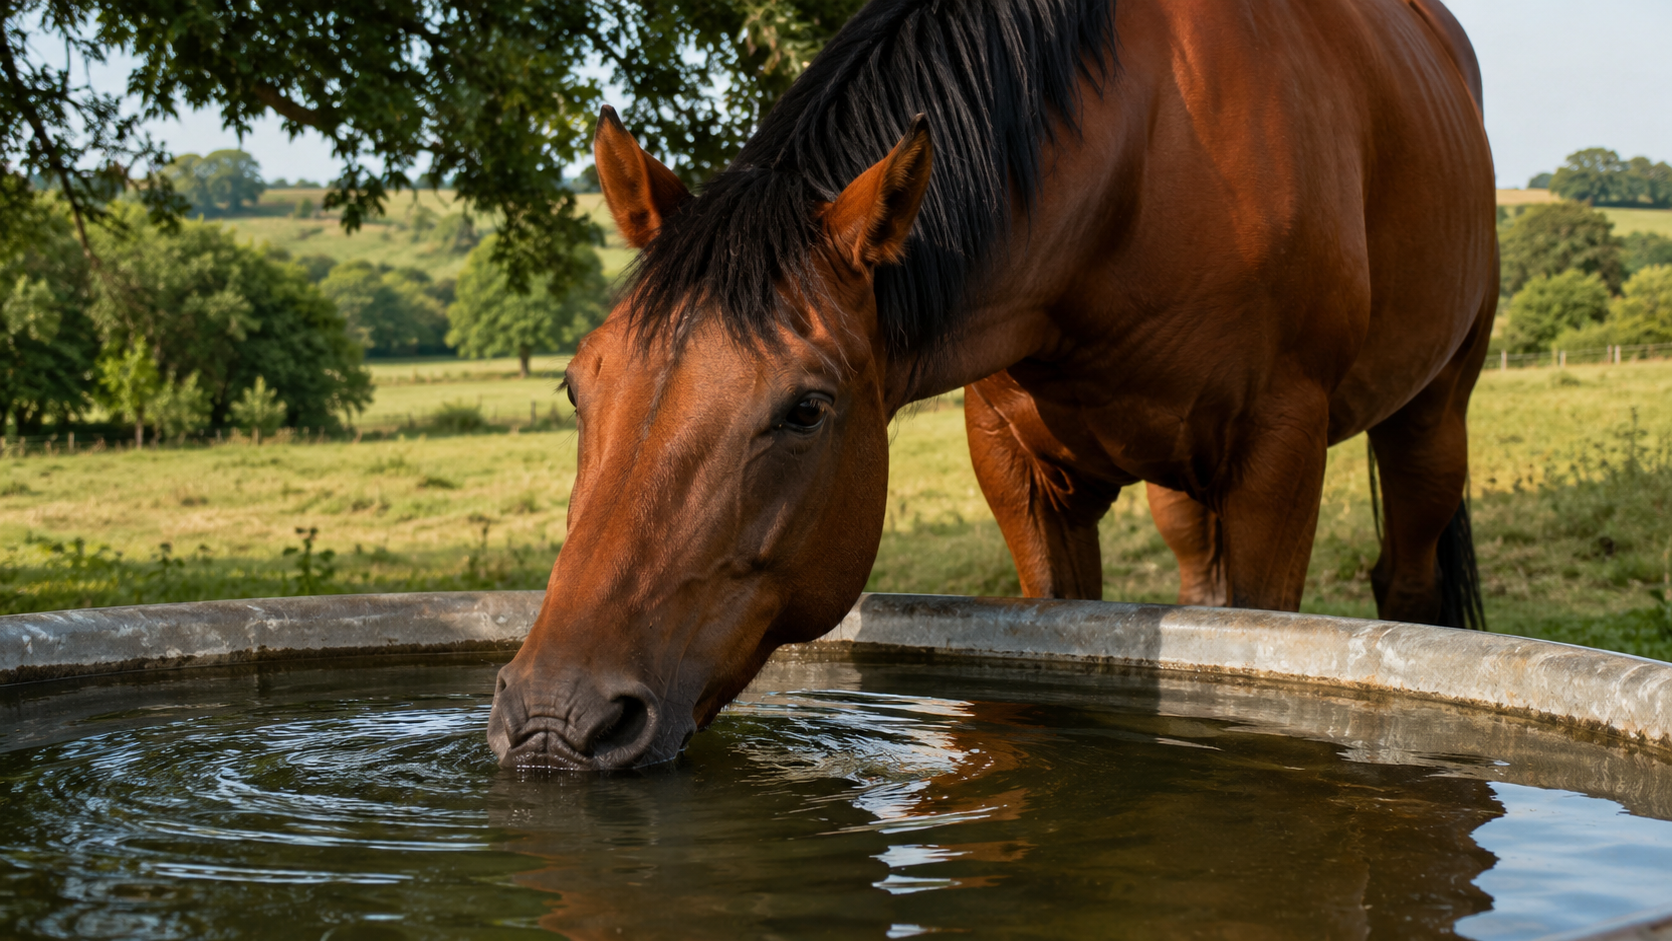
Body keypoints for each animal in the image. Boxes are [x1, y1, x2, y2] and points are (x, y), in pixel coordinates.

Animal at [488, 0, 1498, 770]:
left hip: (1430, 419)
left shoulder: (1278, 457)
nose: (554, 718)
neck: (1143, 170)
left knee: (1409, 579)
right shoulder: (1018, 469)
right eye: (579, 387)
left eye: (806, 408)